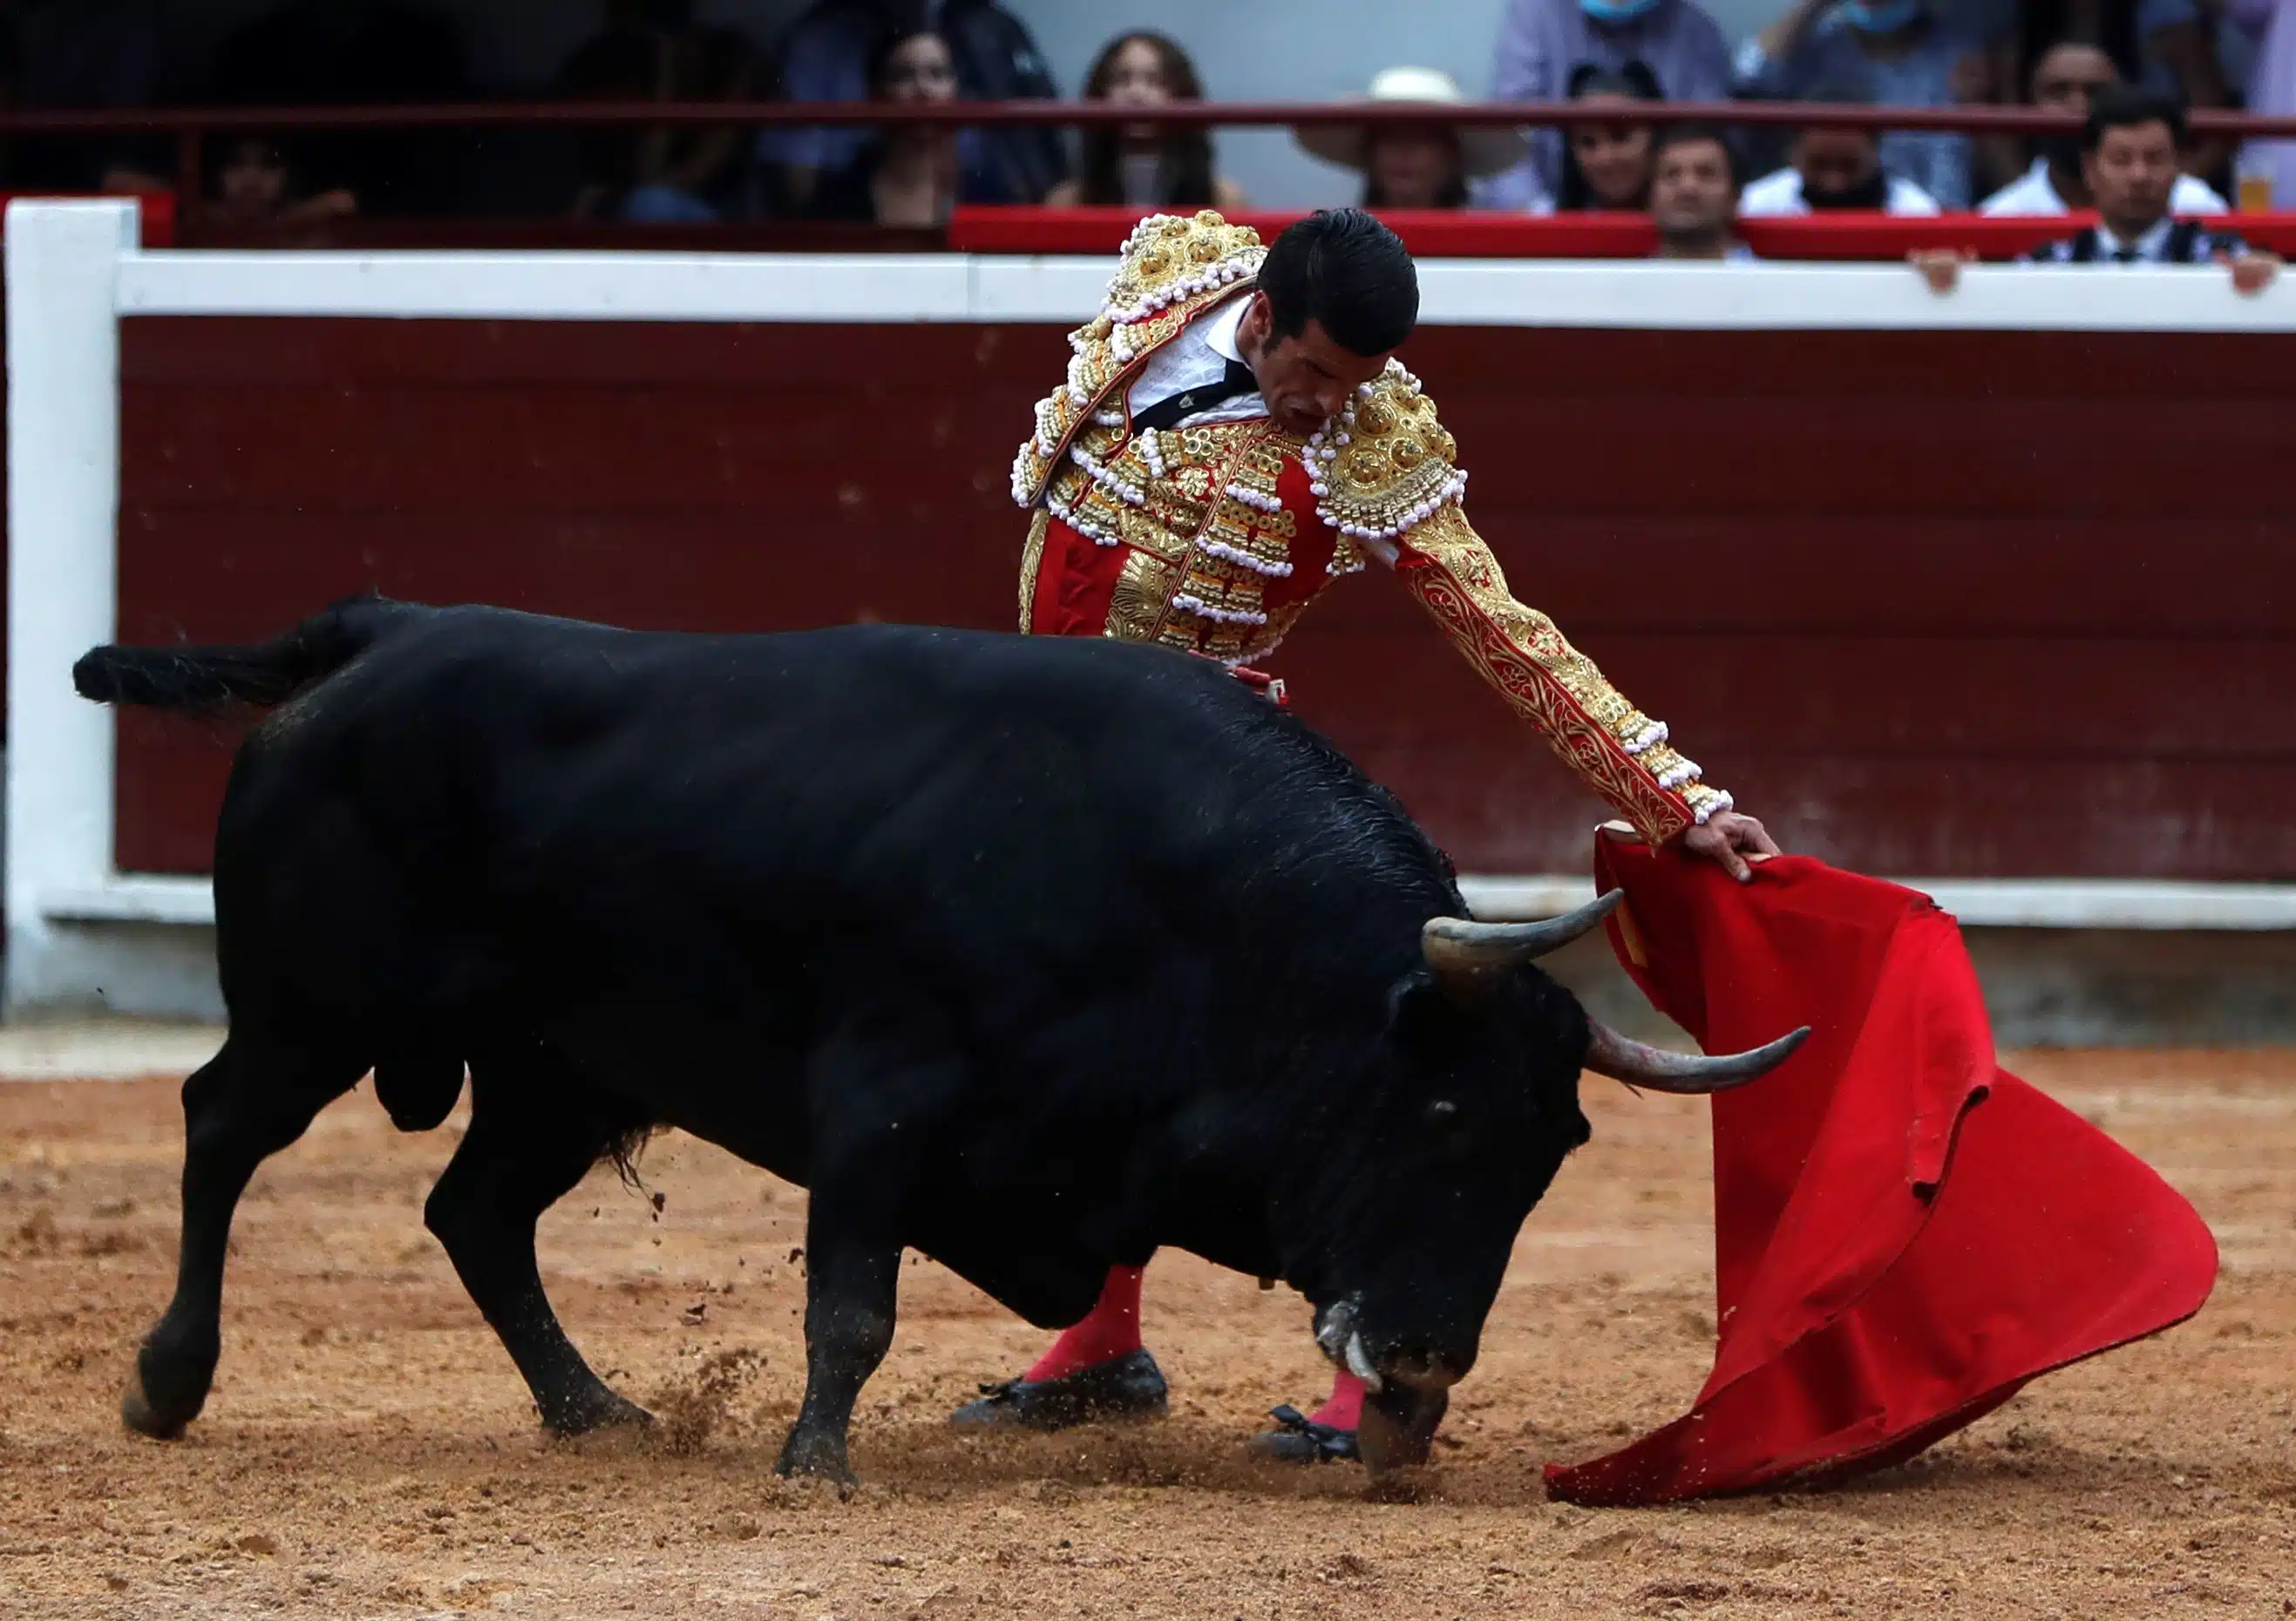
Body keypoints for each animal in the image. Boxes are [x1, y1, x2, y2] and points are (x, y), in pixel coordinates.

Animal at [76, 596, 1809, 1478]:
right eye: (1438, 1120)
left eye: (1553, 1153)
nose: (1431, 1357)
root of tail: (380, 633)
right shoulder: (880, 1110)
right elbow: (852, 1309)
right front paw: (813, 1465)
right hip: (317, 1007)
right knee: (222, 1127)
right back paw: (166, 1382)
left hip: (562, 1071)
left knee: (474, 1210)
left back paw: (591, 1411)